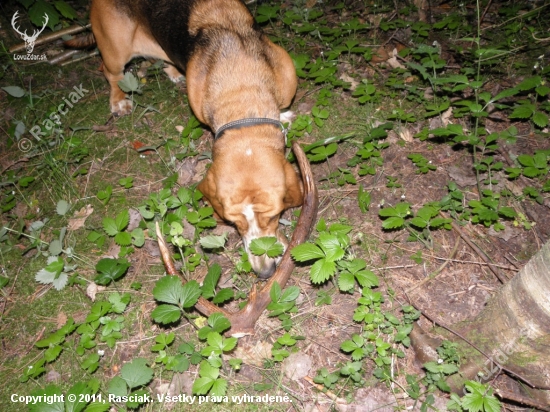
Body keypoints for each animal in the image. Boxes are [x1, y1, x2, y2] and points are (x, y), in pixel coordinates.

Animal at [84, 0, 304, 276]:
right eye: (232, 221)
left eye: (275, 216)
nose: (264, 272)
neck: (241, 94)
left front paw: (284, 117)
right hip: (115, 51)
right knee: (111, 73)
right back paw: (118, 102)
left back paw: (172, 72)